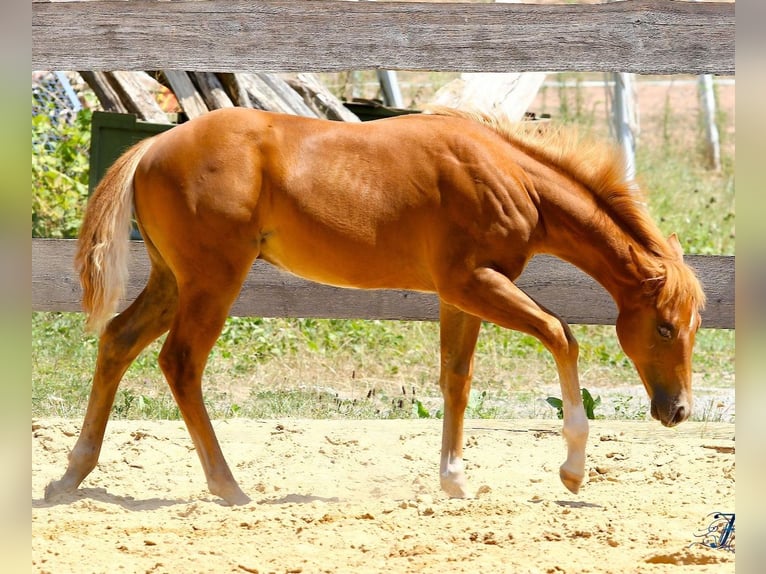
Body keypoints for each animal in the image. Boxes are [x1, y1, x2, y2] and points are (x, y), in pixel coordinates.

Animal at [44, 106, 705, 506]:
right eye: (665, 327)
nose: (677, 411)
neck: (509, 174)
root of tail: (155, 143)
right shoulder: (476, 282)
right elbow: (561, 333)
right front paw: (572, 469)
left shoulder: (459, 294)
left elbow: (456, 378)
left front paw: (454, 481)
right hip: (212, 281)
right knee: (180, 361)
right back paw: (229, 487)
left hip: (172, 281)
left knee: (118, 340)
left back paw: (72, 475)